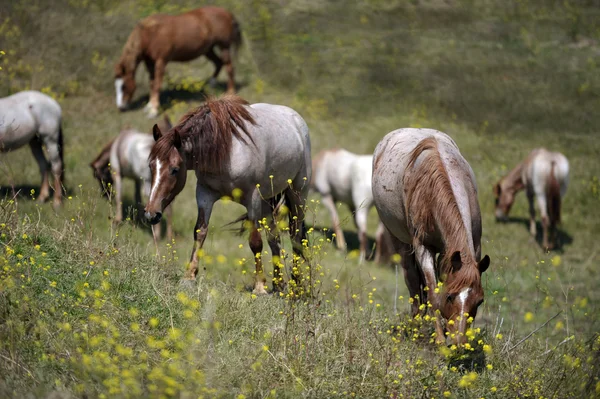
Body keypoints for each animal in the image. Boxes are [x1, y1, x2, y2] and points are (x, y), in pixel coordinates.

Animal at [144, 94, 312, 294]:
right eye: (151, 166)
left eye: (174, 170)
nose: (151, 214)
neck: (228, 150)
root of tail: (297, 121)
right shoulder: (205, 194)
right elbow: (200, 232)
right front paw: (189, 277)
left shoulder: (253, 198)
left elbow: (255, 242)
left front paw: (259, 287)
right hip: (267, 201)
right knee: (274, 237)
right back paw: (279, 284)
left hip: (298, 195)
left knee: (296, 237)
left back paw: (296, 285)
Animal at [372, 130, 490, 346]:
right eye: (450, 297)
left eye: (479, 301)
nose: (459, 342)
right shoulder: (423, 248)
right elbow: (433, 291)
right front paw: (440, 340)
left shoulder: (467, 250)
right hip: (399, 240)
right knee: (412, 281)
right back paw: (417, 323)